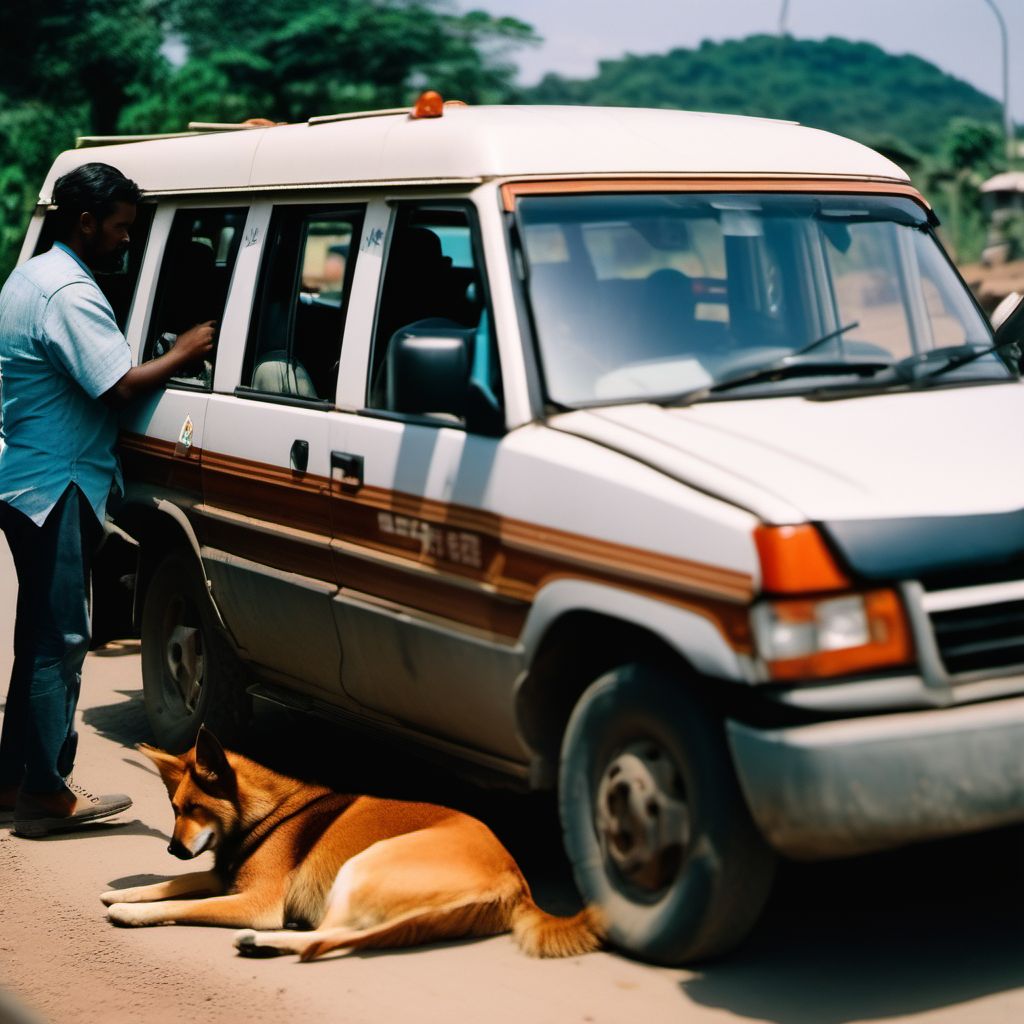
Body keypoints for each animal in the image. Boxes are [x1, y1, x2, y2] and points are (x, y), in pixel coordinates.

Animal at [99, 729, 602, 958]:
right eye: (175, 808)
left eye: (196, 809)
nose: (173, 849)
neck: (268, 812)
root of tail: (516, 883)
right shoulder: (222, 875)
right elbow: (174, 884)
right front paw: (127, 892)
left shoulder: (255, 900)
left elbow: (182, 903)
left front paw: (130, 912)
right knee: (338, 935)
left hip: (363, 864)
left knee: (327, 935)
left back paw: (264, 940)